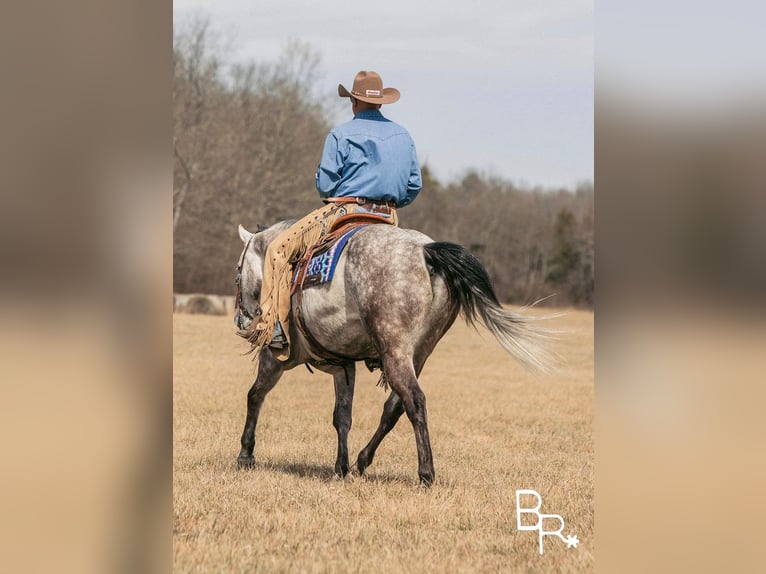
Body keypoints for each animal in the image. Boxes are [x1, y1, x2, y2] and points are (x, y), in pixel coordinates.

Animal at [234, 220, 560, 486]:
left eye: (237, 273)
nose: (241, 319)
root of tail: (426, 252)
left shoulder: (276, 357)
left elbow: (255, 395)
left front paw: (245, 454)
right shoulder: (343, 366)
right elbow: (342, 416)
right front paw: (340, 467)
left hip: (395, 352)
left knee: (414, 401)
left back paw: (426, 474)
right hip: (418, 353)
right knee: (395, 406)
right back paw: (362, 461)